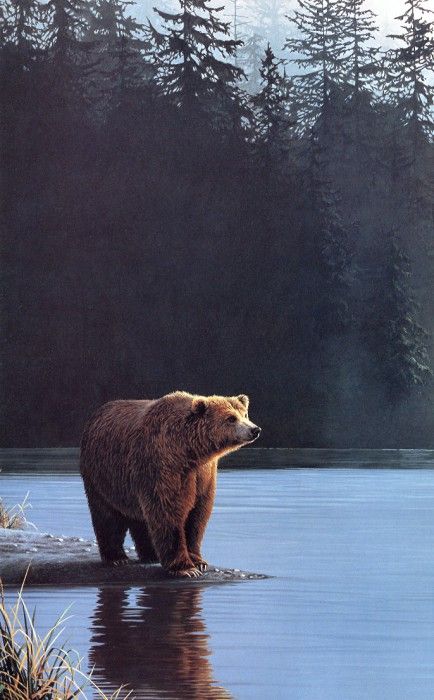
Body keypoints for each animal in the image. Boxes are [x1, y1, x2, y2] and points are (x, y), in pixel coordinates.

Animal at [80, 391, 261, 578]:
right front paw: (186, 568)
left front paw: (199, 562)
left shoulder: (203, 474)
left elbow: (198, 514)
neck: (190, 452)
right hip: (102, 476)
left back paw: (150, 555)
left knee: (141, 518)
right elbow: (168, 512)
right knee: (107, 516)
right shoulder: (163, 466)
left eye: (244, 414)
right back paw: (117, 558)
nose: (255, 430)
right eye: (231, 418)